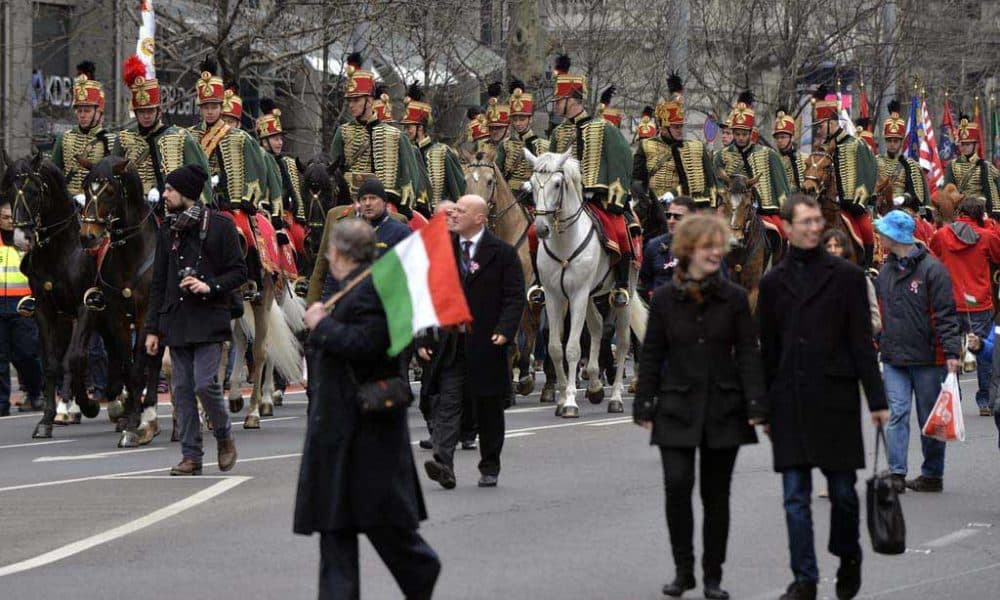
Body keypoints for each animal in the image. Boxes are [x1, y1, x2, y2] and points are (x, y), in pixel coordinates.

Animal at [524, 151, 648, 418]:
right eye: (533, 182)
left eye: (557, 184)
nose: (541, 228)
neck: (564, 242)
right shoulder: (554, 297)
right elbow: (555, 347)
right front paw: (562, 398)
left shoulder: (578, 295)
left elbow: (572, 347)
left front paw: (570, 402)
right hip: (591, 295)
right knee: (598, 328)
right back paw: (594, 386)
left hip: (624, 292)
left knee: (623, 340)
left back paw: (615, 398)